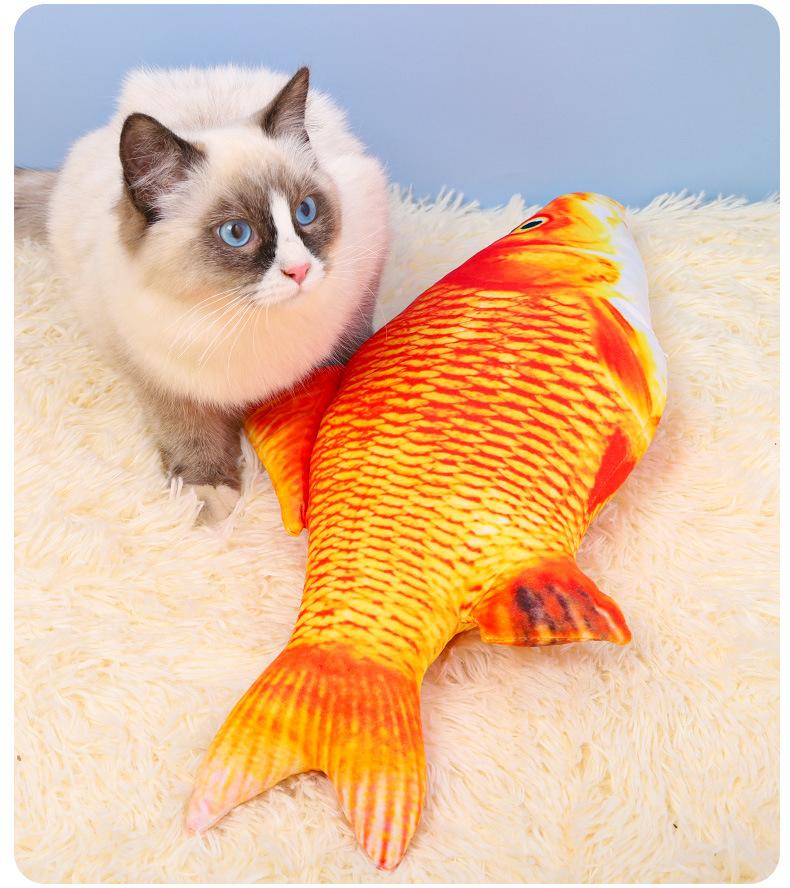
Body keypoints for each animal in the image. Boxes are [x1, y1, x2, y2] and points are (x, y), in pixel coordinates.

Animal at [15, 65, 390, 523]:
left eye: (306, 211)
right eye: (236, 233)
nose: (299, 271)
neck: (239, 315)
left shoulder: (362, 270)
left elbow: (342, 359)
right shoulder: (159, 373)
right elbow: (188, 431)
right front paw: (208, 492)